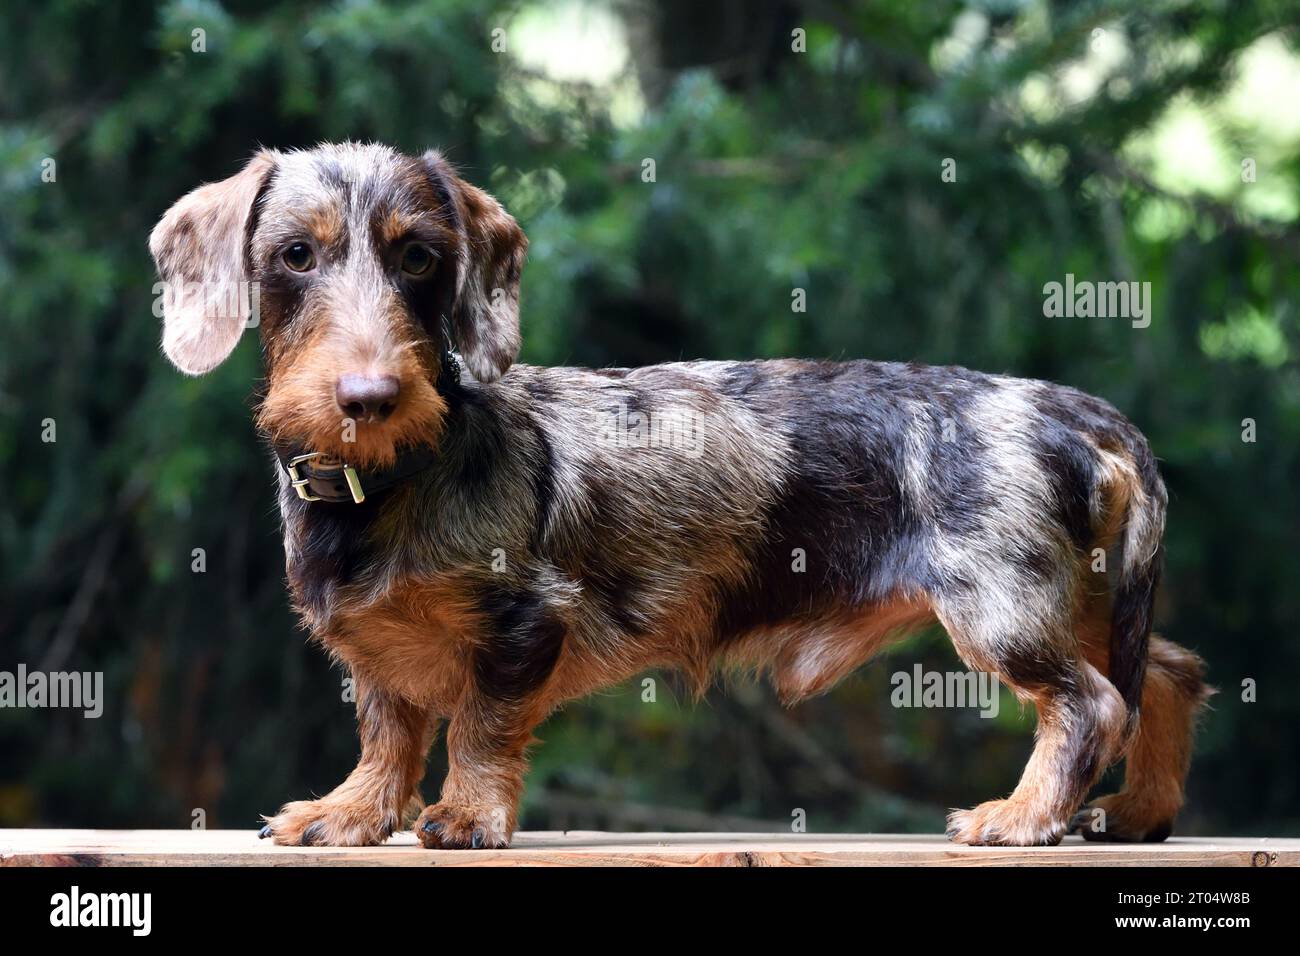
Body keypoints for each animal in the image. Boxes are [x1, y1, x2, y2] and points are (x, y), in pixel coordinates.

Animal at [149, 140, 1206, 842]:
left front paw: (466, 814)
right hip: (1081, 600)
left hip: (1003, 609)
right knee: (1165, 673)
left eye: (417, 255)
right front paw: (352, 812)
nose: (369, 397)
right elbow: (389, 727)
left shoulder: (526, 620)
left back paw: (1021, 817)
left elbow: (481, 724)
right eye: (296, 256)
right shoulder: (377, 650)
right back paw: (1137, 810)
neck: (393, 478)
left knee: (1091, 704)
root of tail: (1077, 412)